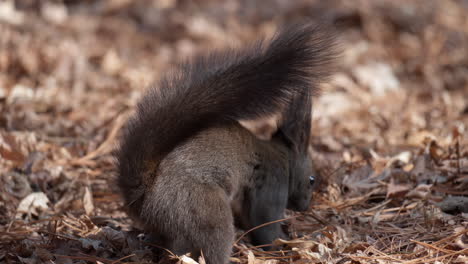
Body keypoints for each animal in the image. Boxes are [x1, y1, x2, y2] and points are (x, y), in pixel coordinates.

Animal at [117, 23, 336, 262]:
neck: (282, 157)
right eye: (312, 180)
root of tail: (146, 195)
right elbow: (265, 226)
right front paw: (285, 243)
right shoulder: (272, 183)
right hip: (206, 213)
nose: (306, 207)